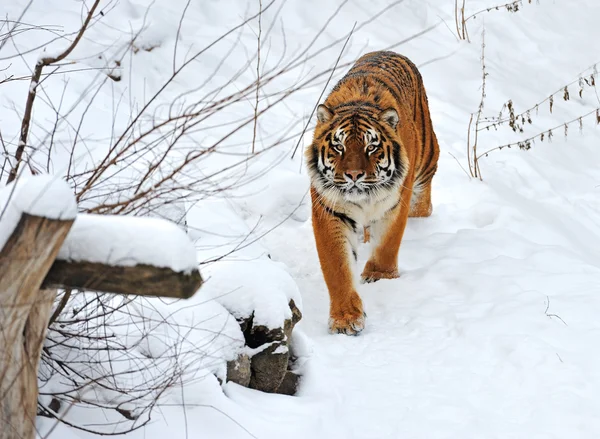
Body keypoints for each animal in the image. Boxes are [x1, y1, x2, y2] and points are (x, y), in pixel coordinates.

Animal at [304, 49, 440, 336]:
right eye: (339, 147)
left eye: (371, 147)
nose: (354, 175)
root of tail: (390, 51)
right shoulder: (329, 210)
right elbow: (337, 267)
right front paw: (345, 318)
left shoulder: (397, 201)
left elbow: (388, 242)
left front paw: (380, 276)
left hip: (426, 162)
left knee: (423, 205)